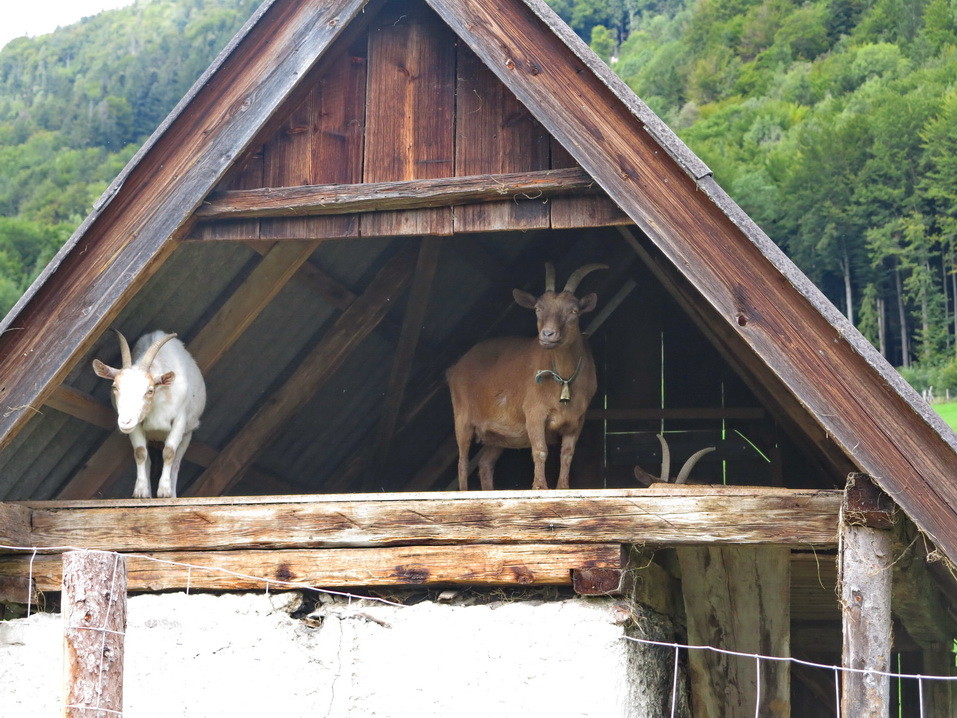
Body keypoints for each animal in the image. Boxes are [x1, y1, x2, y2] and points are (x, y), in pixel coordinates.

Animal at [92, 332, 206, 500]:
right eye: (115, 387)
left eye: (150, 390)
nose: (125, 421)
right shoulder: (136, 425)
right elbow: (140, 453)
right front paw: (141, 491)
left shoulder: (180, 420)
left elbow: (169, 452)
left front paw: (164, 491)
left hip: (188, 433)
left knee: (177, 462)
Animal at [446, 262, 604, 492]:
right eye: (538, 309)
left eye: (573, 311)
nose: (547, 334)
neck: (564, 378)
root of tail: (455, 368)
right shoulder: (534, 412)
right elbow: (540, 449)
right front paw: (540, 487)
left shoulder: (577, 419)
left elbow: (567, 454)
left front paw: (563, 488)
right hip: (462, 417)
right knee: (463, 459)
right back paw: (465, 492)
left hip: (498, 435)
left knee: (485, 464)